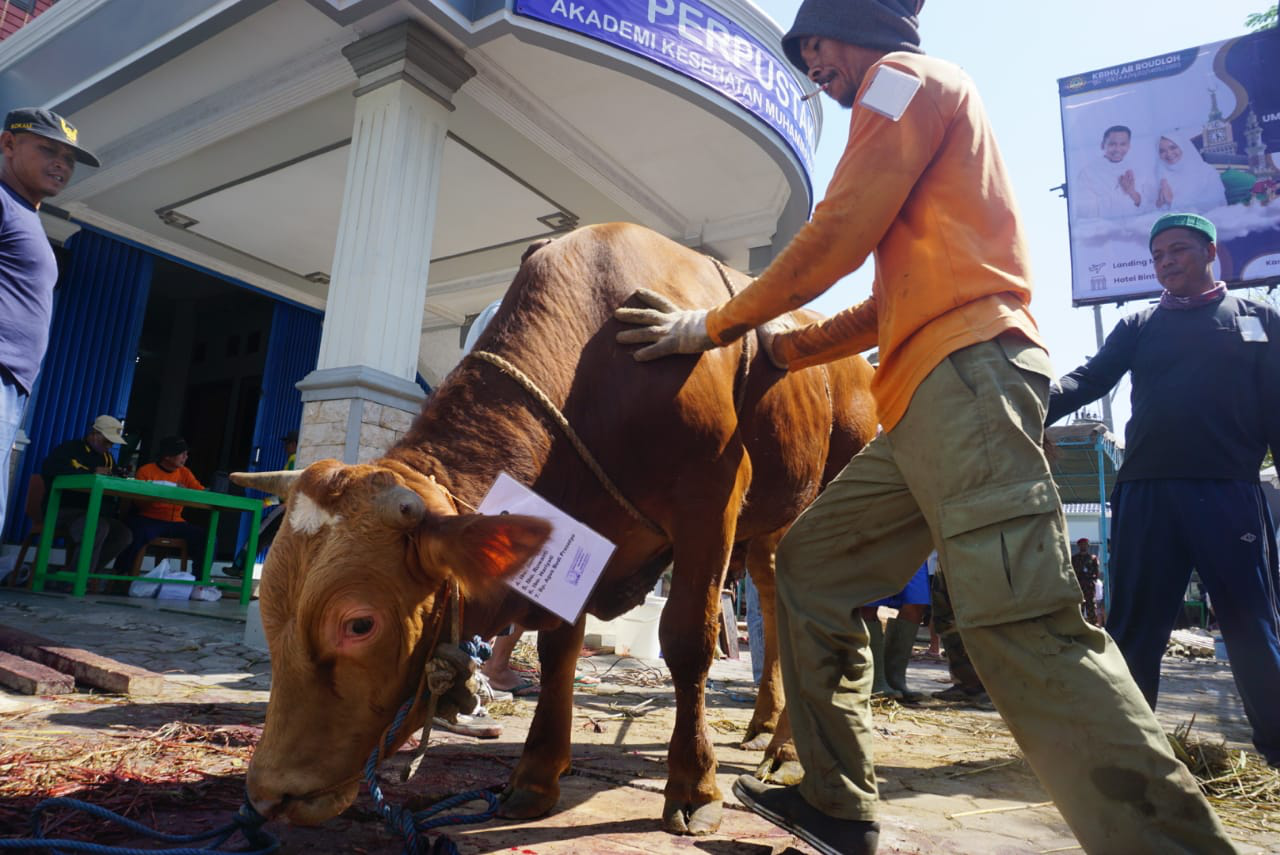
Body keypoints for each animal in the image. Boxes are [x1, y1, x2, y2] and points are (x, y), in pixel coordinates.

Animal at [232, 222, 870, 834]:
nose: (266, 794)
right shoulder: (584, 532)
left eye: (360, 624)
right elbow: (558, 646)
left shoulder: (710, 500)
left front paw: (694, 787)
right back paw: (764, 724)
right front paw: (536, 776)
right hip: (771, 527)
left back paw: (786, 752)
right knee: (777, 599)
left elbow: (688, 641)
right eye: (269, 608)